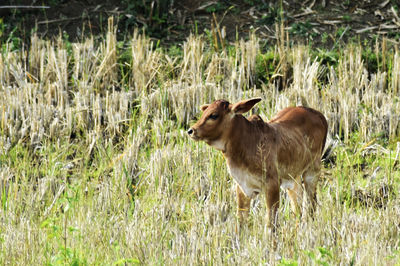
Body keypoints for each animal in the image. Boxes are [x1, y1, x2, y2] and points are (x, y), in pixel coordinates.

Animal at [188, 97, 328, 229]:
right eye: (204, 112)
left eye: (214, 115)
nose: (191, 130)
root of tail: (319, 115)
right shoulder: (243, 188)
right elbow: (241, 222)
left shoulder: (272, 185)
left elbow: (271, 223)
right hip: (293, 179)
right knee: (297, 210)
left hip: (312, 173)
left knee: (310, 206)